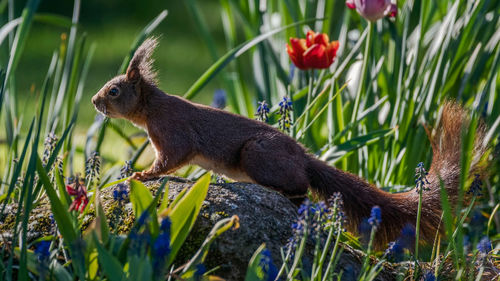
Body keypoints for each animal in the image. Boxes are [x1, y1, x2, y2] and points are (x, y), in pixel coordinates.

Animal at [92, 37, 486, 247]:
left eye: (114, 91)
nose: (95, 102)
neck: (150, 109)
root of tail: (303, 156)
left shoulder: (174, 133)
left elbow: (170, 158)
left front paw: (141, 176)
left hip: (258, 154)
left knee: (301, 188)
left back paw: (284, 193)